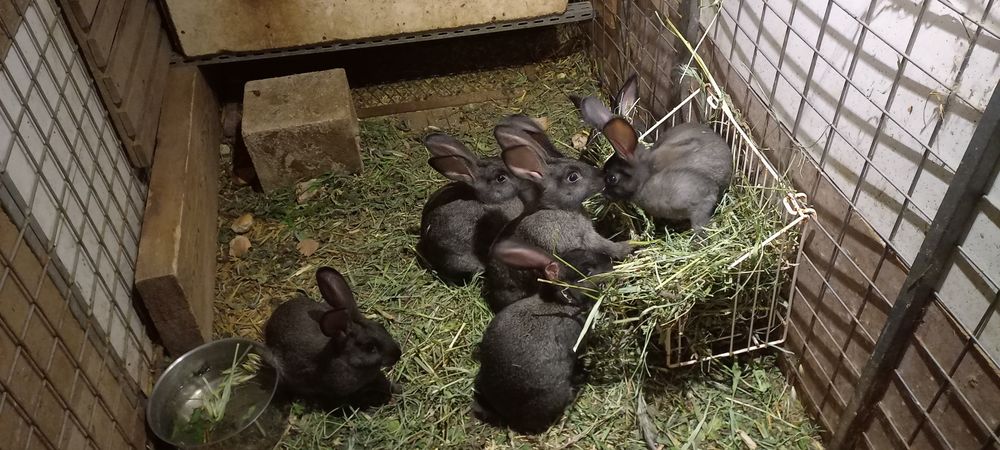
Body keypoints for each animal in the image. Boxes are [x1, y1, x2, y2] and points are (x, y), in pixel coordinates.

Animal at [482, 122, 631, 312]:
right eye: (573, 177)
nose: (603, 177)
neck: (558, 209)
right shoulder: (585, 240)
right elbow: (606, 246)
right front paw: (629, 247)